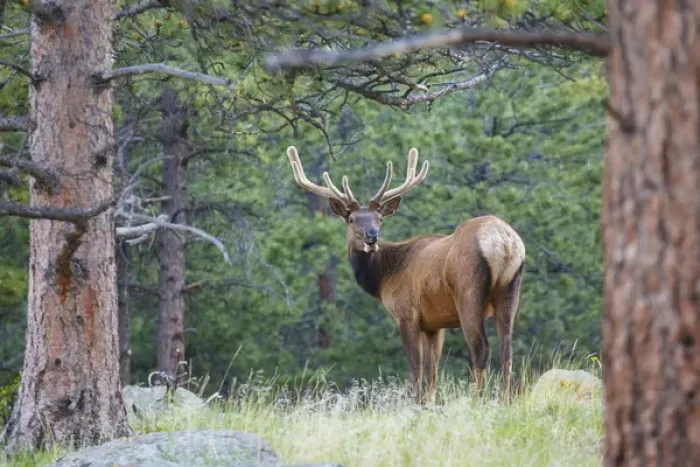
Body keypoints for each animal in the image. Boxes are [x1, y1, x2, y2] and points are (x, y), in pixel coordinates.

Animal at [286, 145, 526, 405]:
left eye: (379, 218)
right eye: (351, 219)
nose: (372, 236)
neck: (384, 278)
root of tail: (505, 242)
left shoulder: (406, 313)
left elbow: (415, 369)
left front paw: (416, 404)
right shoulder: (434, 324)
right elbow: (432, 370)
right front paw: (429, 403)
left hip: (469, 292)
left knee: (481, 349)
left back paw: (476, 402)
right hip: (510, 290)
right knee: (507, 350)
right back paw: (506, 401)